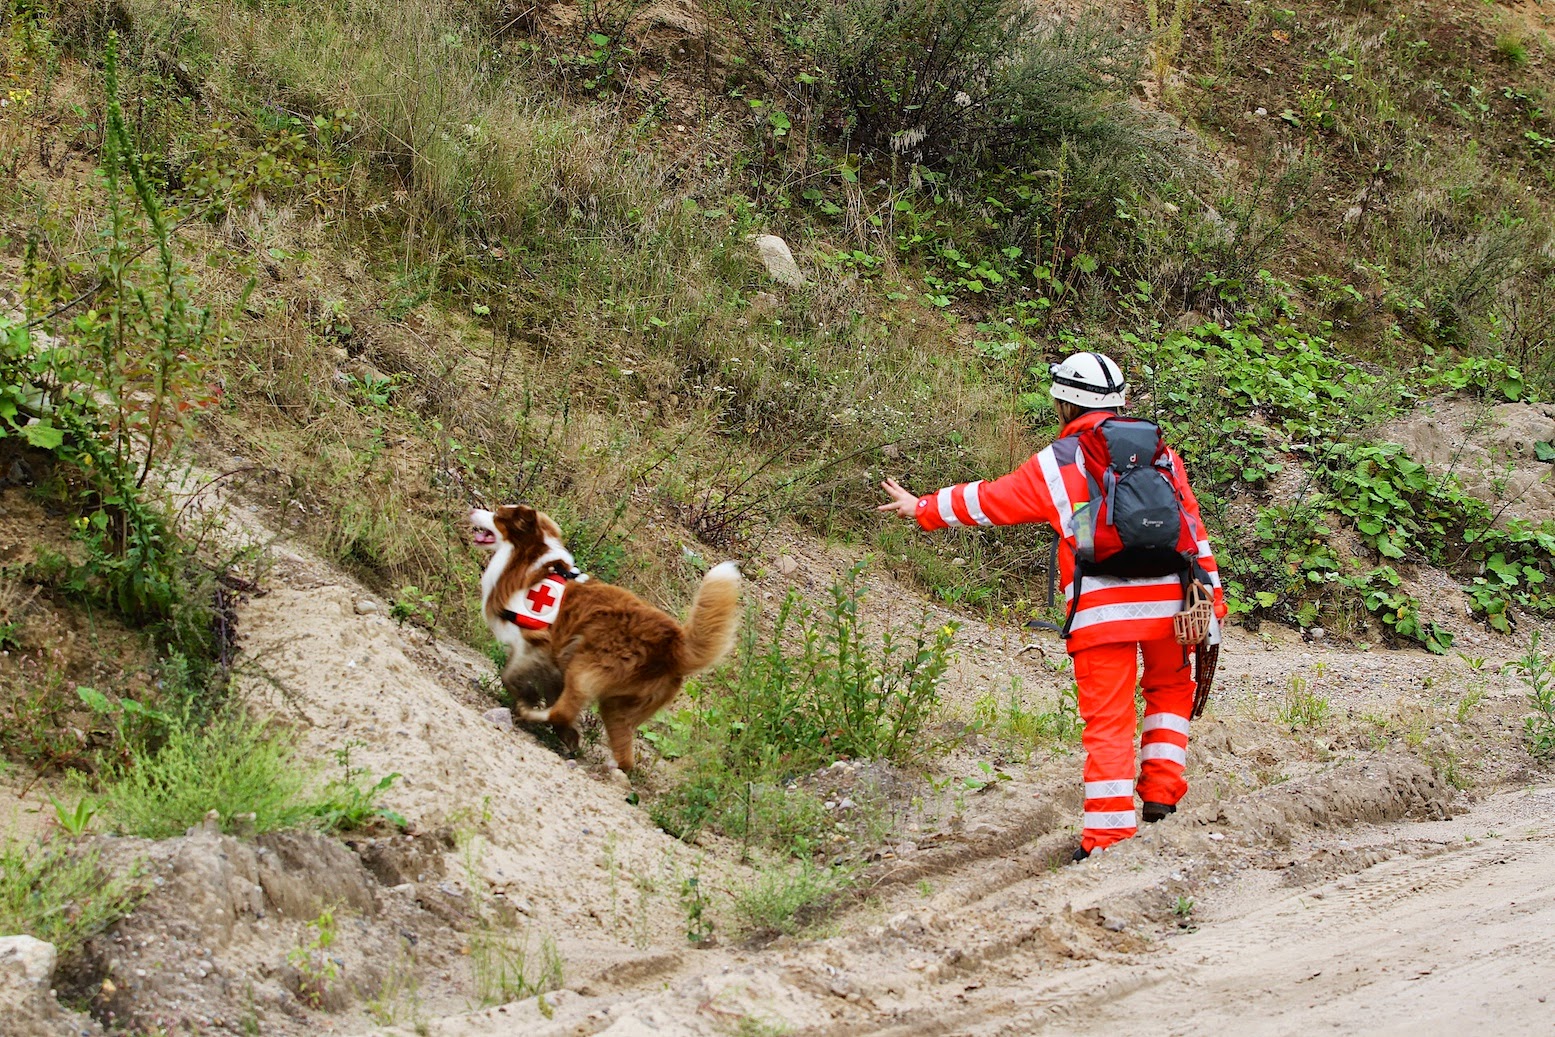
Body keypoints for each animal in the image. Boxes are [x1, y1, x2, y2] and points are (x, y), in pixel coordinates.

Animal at [469, 503, 743, 771]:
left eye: (497, 515)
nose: (473, 510)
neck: (530, 560)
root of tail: (674, 643)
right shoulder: (552, 660)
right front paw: (567, 734)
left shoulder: (536, 645)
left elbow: (510, 676)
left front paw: (529, 703)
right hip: (617, 706)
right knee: (624, 756)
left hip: (585, 668)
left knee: (563, 711)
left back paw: (531, 715)